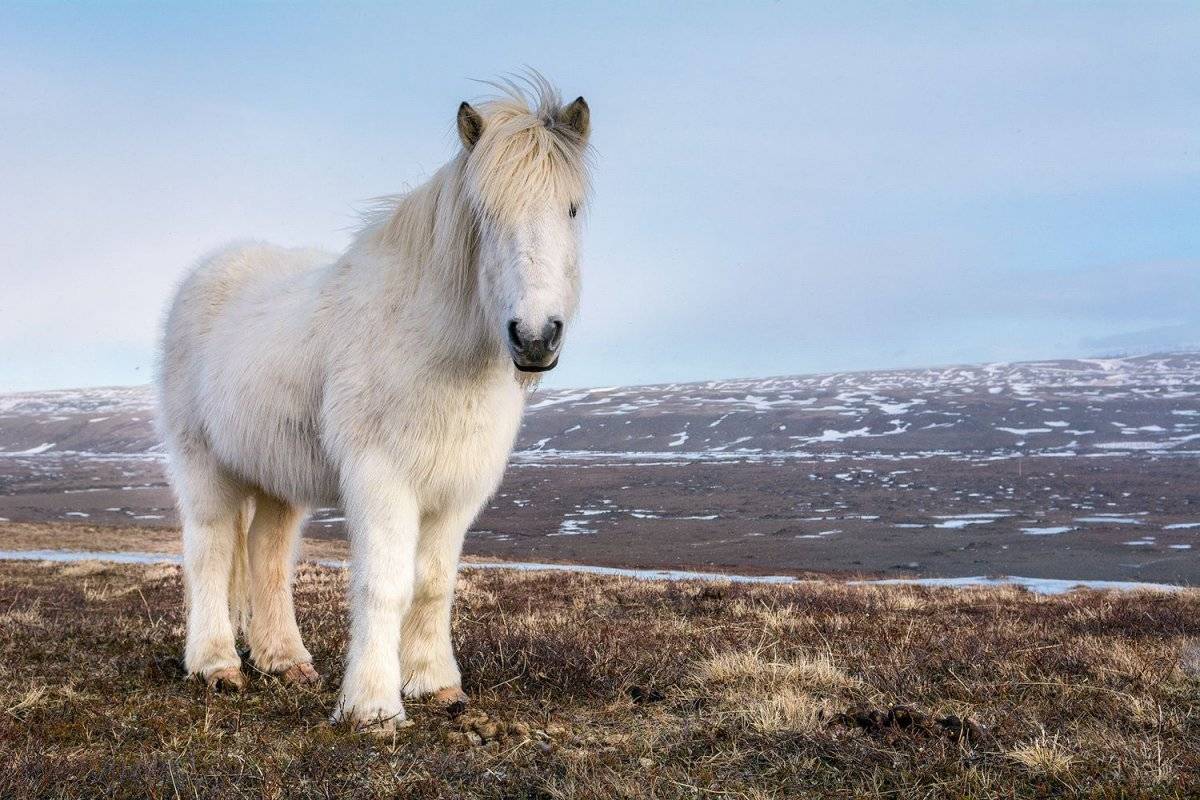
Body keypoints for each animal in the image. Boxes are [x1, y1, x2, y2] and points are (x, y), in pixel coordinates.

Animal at [157, 76, 592, 734]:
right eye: (484, 214)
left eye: (571, 208)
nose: (535, 337)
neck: (428, 339)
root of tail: (208, 273)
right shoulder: (382, 479)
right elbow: (385, 585)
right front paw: (372, 706)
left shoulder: (455, 493)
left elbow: (432, 585)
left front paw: (436, 684)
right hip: (205, 463)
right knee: (211, 550)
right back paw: (216, 665)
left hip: (277, 480)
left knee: (266, 554)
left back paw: (285, 660)